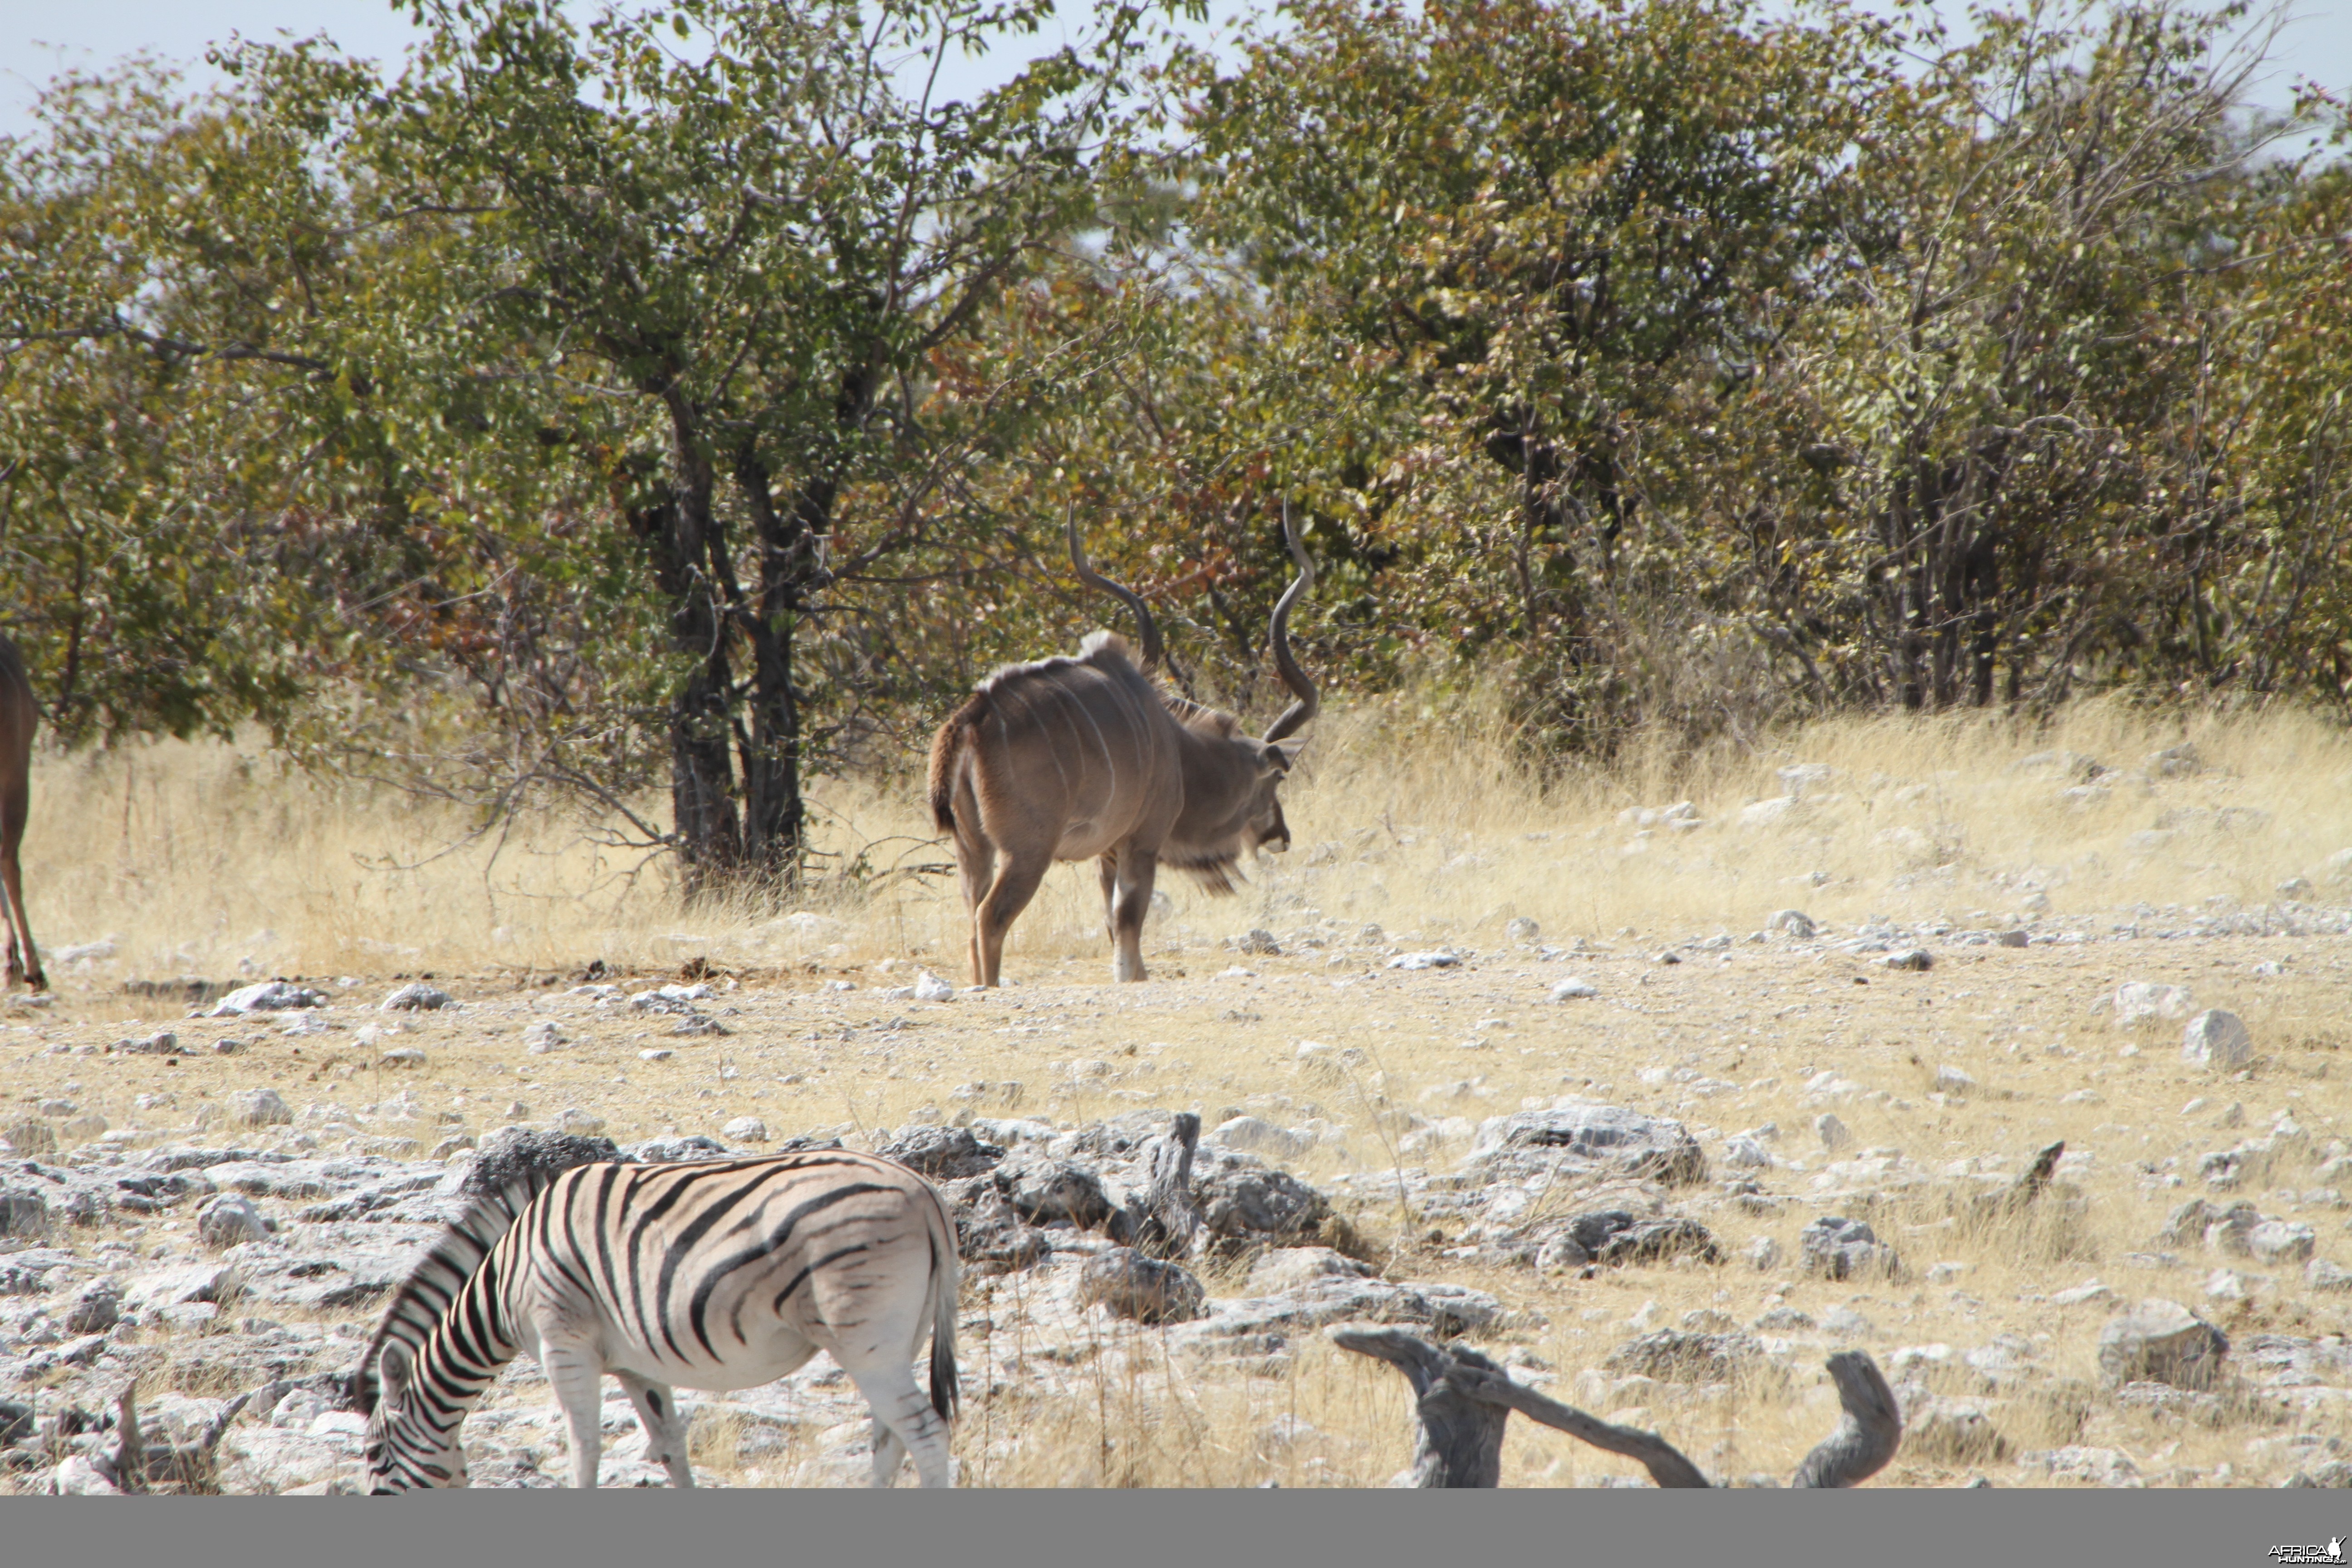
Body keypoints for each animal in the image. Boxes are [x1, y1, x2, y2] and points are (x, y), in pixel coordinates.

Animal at [353, 1147, 960, 1495]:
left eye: (374, 1455)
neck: (505, 1280)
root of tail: (925, 1190)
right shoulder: (634, 1365)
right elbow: (669, 1445)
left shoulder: (563, 1343)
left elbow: (585, 1449)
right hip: (903, 1339)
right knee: (891, 1439)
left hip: (865, 1340)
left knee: (927, 1436)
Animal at [922, 514, 1326, 982]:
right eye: (1276, 778)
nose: (1282, 836)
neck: (1177, 749)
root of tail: (971, 719)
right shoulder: (1141, 844)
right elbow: (1128, 926)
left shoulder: (1108, 856)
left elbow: (1112, 925)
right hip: (1027, 852)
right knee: (991, 919)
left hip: (973, 850)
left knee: (971, 917)